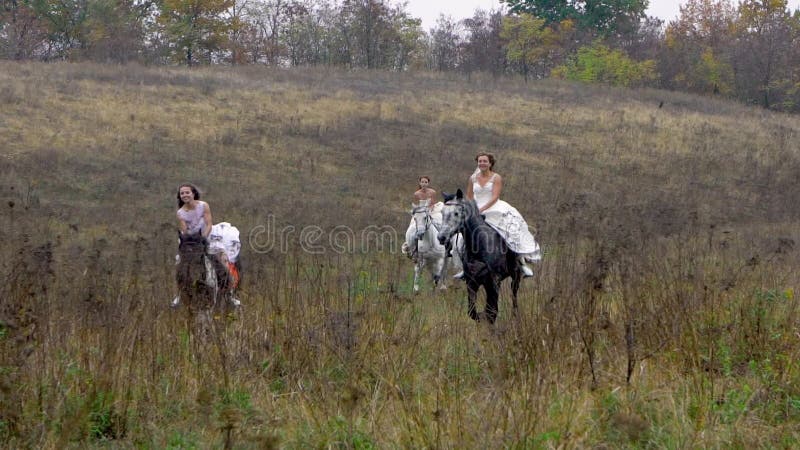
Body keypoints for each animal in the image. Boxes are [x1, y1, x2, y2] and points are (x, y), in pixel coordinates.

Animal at [438, 190, 524, 324]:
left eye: (456, 213)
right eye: (442, 212)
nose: (441, 237)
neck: (479, 246)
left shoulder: (494, 280)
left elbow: (492, 312)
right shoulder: (472, 282)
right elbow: (472, 312)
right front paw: (481, 316)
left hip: (515, 276)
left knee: (514, 296)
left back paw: (515, 317)